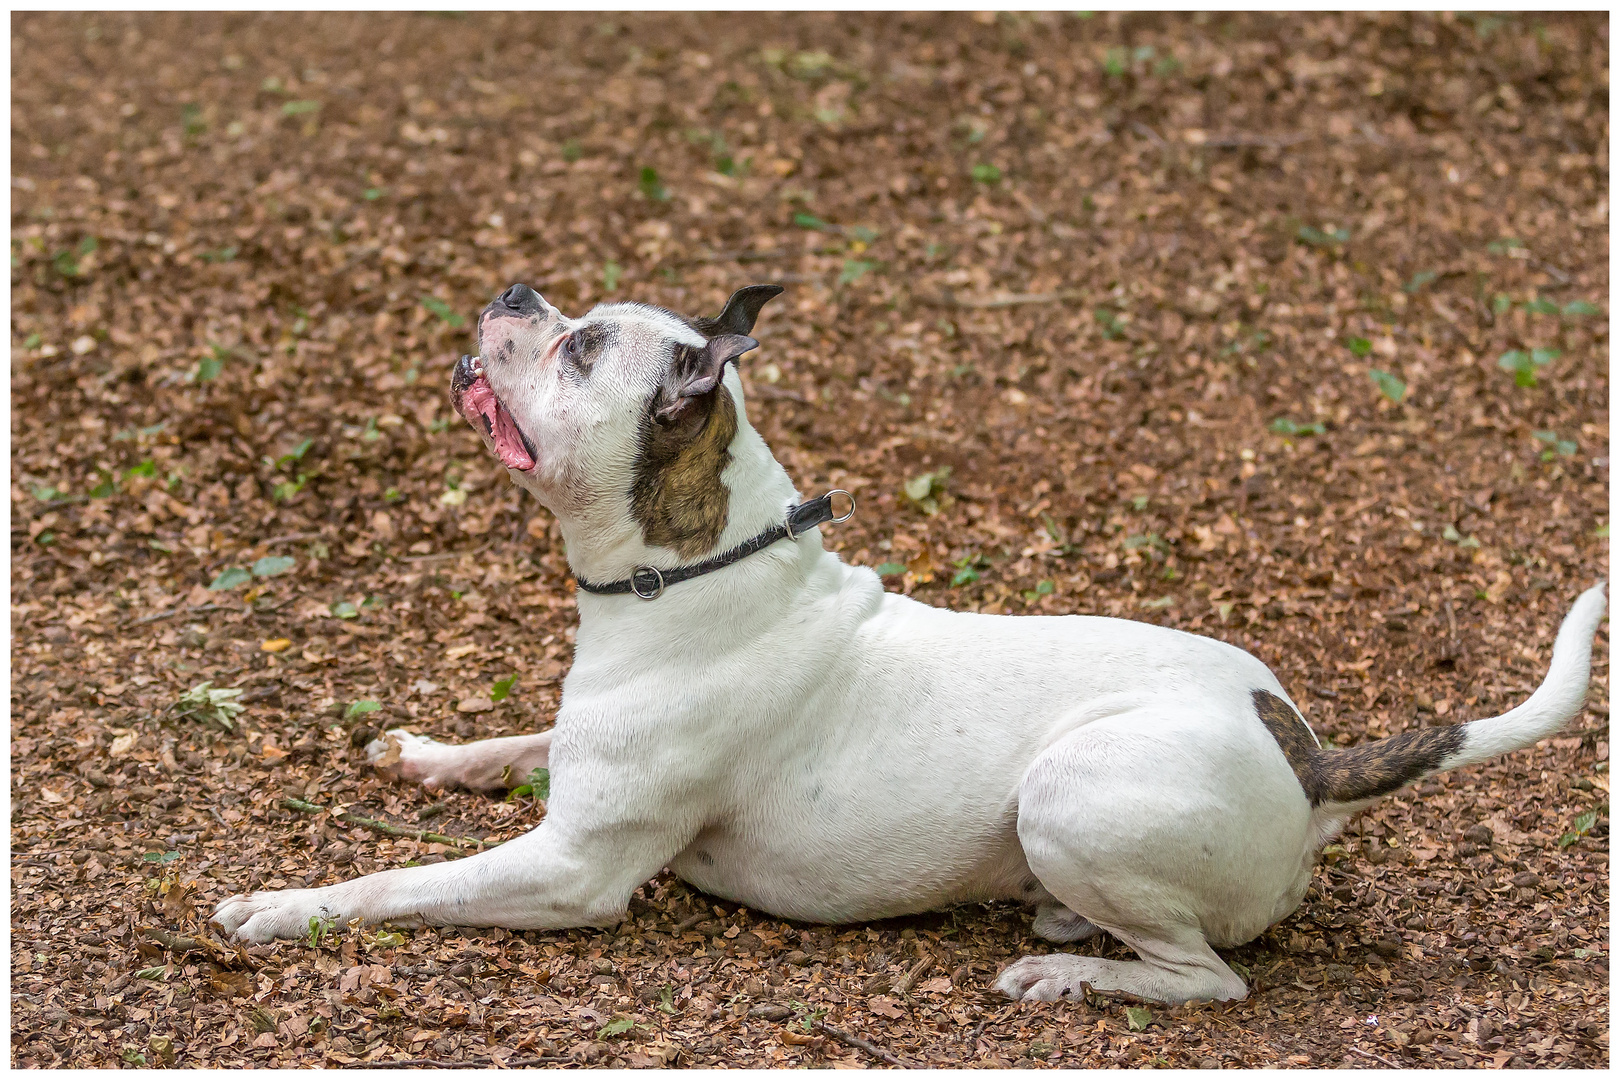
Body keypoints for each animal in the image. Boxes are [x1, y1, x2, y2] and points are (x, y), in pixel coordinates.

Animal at [215, 284, 1607, 1003]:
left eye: (580, 347)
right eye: (571, 313)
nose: (516, 291)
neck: (699, 569)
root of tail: (1310, 759)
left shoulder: (570, 870)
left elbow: (402, 884)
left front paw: (284, 904)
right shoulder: (568, 756)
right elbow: (507, 743)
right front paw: (424, 754)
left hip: (1072, 792)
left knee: (1215, 979)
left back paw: (1073, 976)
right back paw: (1067, 932)